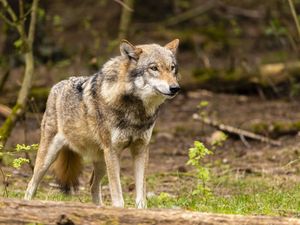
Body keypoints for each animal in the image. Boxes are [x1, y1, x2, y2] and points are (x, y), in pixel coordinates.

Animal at [24, 38, 180, 207]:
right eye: (154, 68)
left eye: (172, 68)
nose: (175, 88)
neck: (136, 111)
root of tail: (56, 85)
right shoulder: (112, 150)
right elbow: (118, 199)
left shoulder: (141, 149)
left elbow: (140, 198)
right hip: (48, 159)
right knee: (31, 185)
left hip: (102, 161)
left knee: (92, 185)